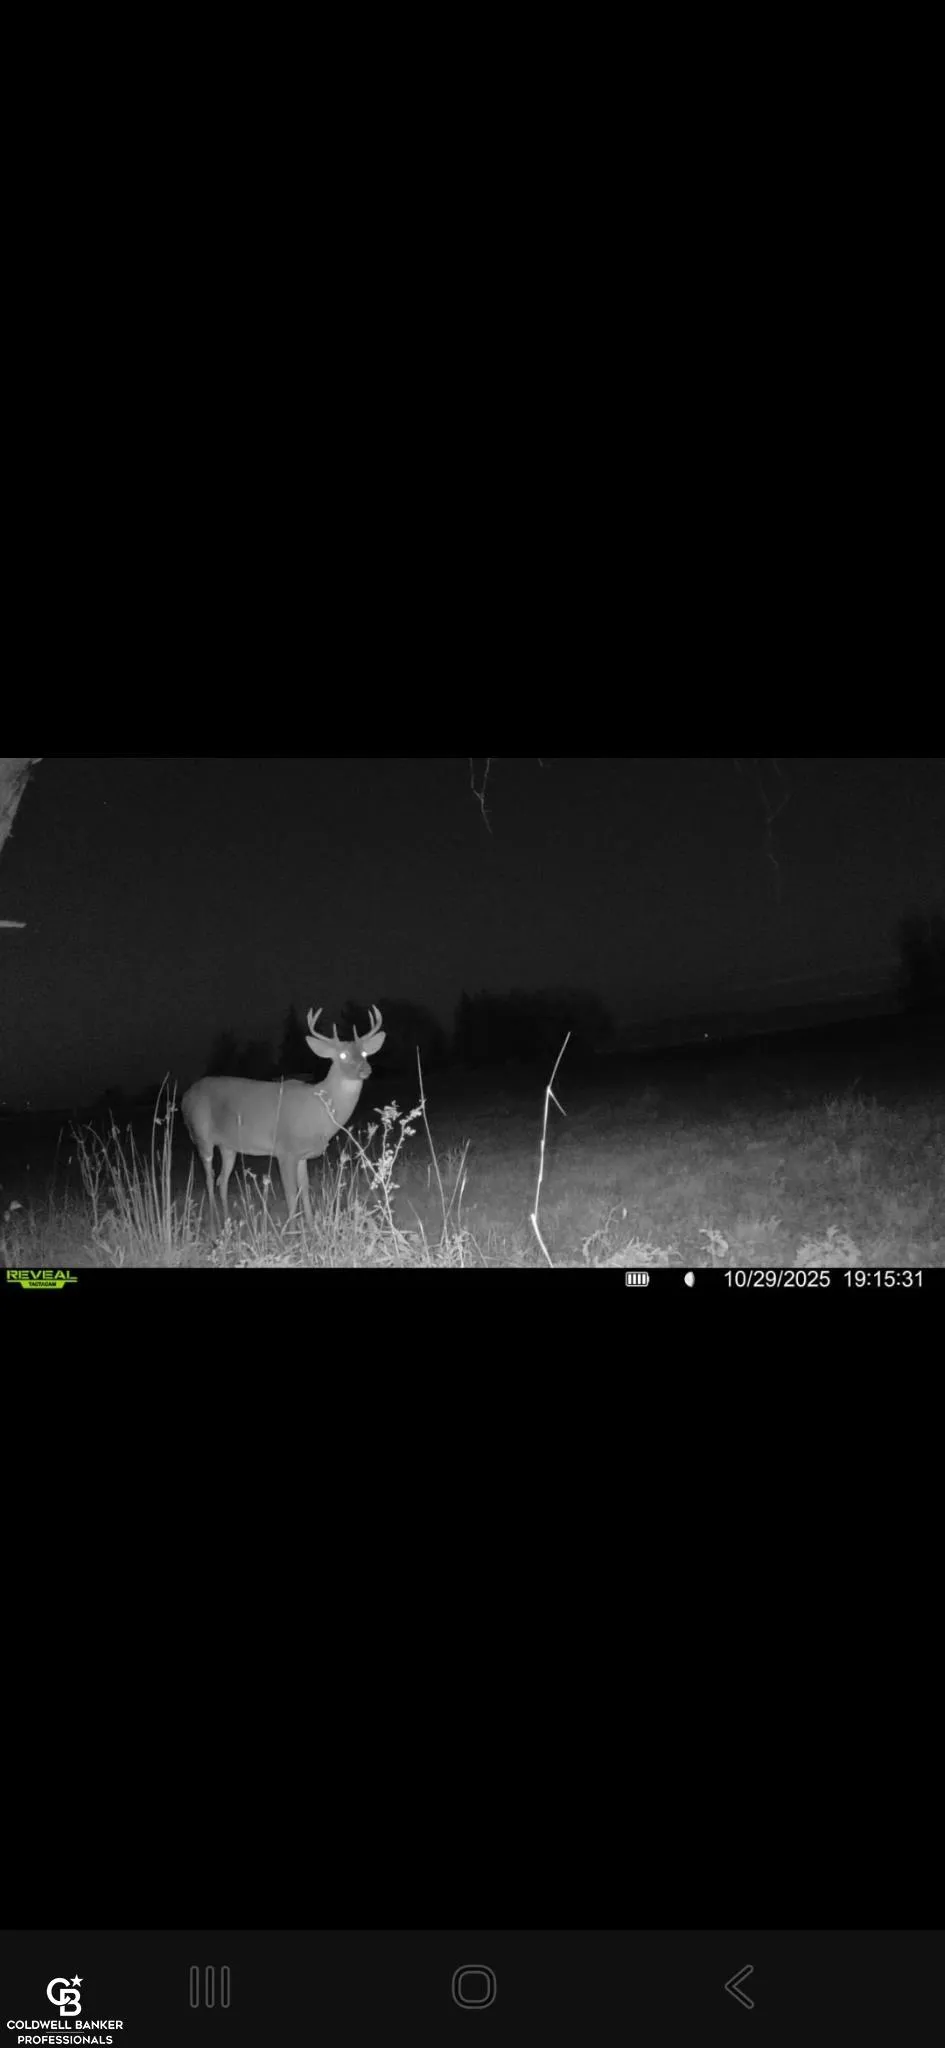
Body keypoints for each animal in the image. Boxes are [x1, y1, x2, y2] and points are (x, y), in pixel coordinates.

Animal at [182, 1006, 385, 1227]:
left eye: (364, 1053)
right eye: (342, 1055)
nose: (365, 1069)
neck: (318, 1110)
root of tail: (185, 1097)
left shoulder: (301, 1154)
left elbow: (305, 1189)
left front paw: (311, 1226)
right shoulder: (284, 1150)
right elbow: (290, 1194)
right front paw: (293, 1229)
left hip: (228, 1145)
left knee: (222, 1180)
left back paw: (226, 1219)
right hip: (201, 1134)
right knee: (210, 1177)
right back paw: (214, 1219)